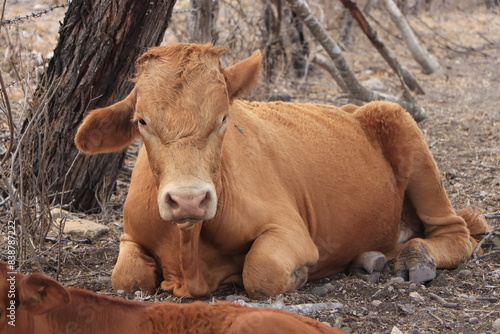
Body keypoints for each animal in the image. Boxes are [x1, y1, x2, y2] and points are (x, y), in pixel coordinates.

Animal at [74, 42, 488, 300]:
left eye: (223, 118)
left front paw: (300, 275)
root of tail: (352, 109)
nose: (188, 200)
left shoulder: (290, 229)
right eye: (142, 122)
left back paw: (415, 257)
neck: (189, 253)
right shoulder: (130, 234)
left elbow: (261, 271)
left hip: (402, 125)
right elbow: (127, 277)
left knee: (455, 231)